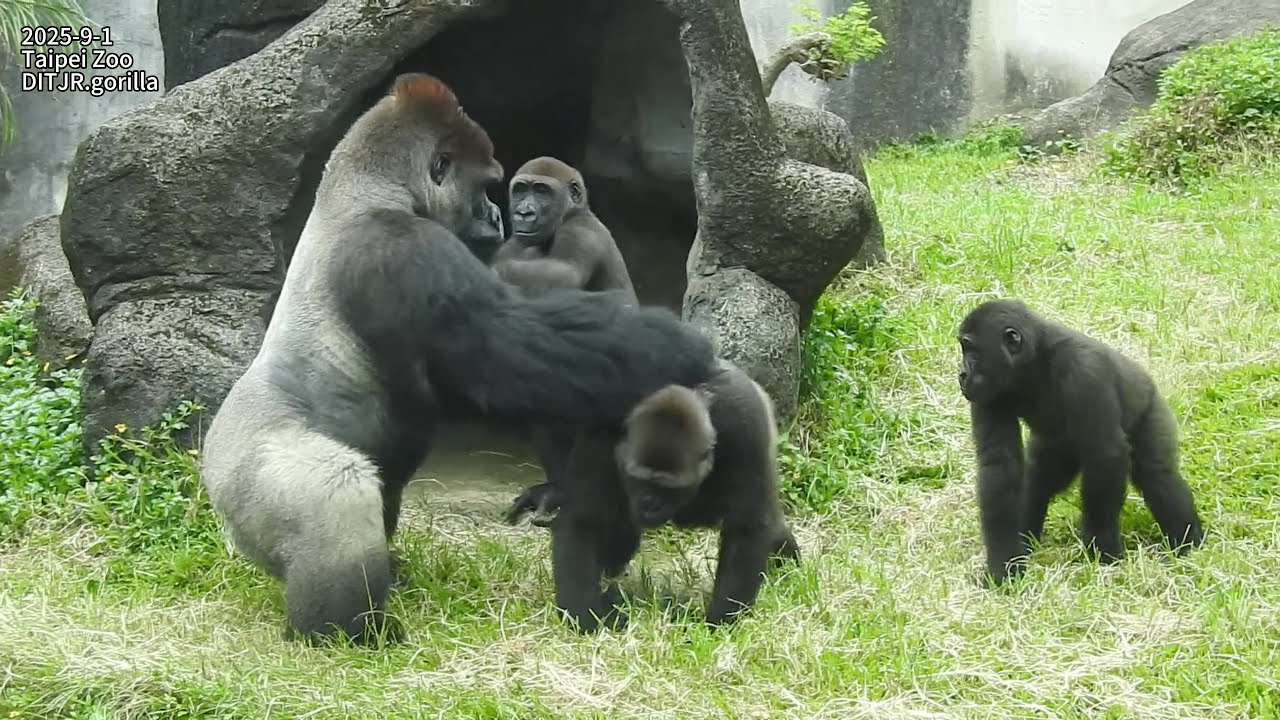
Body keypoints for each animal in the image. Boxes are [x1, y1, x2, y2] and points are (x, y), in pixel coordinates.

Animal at [197, 73, 719, 646]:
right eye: (488, 186)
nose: (498, 216)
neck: (366, 190)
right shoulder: (402, 245)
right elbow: (499, 347)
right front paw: (671, 346)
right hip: (248, 478)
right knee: (336, 489)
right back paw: (347, 632)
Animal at [548, 359, 801, 633]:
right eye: (640, 479)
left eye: (668, 487)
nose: (650, 506)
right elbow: (584, 520)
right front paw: (587, 617)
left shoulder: (744, 419)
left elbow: (747, 527)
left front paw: (718, 623)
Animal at [957, 298, 1204, 586]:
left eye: (971, 349)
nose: (962, 374)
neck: (1034, 360)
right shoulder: (987, 392)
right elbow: (999, 466)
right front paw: (1003, 566)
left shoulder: (1086, 371)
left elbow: (1106, 455)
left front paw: (1103, 550)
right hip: (1058, 450)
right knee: (1038, 478)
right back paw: (1026, 540)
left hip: (1150, 406)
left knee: (1157, 474)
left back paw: (1187, 543)